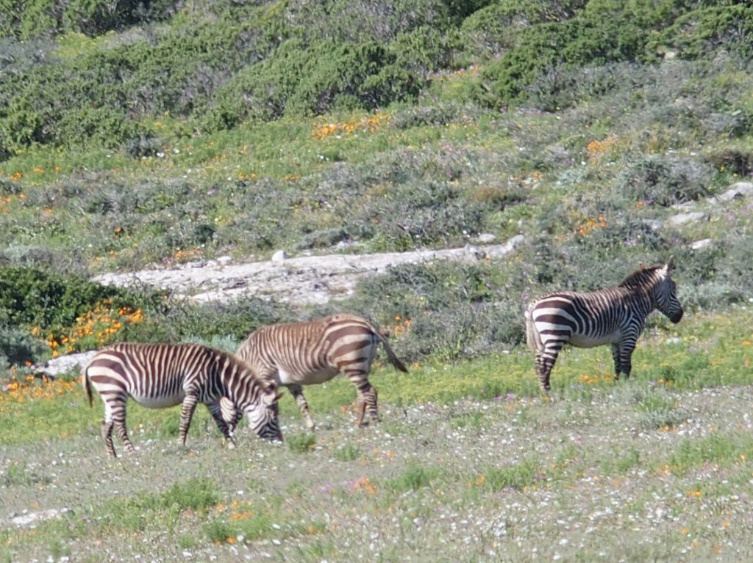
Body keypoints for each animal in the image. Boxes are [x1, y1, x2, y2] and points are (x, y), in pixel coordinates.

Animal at [82, 344, 282, 458]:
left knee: (105, 425)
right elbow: (185, 421)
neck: (218, 375)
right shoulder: (191, 392)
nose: (282, 444)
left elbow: (221, 423)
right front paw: (180, 446)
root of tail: (93, 358)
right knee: (119, 425)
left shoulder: (211, 401)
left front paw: (232, 444)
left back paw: (113, 457)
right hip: (114, 391)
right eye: (273, 419)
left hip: (109, 395)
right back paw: (132, 454)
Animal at [234, 312, 408, 432]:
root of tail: (365, 322)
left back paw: (375, 422)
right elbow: (302, 404)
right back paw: (358, 423)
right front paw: (311, 427)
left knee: (369, 393)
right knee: (363, 394)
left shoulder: (266, 377)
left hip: (351, 363)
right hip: (363, 364)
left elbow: (268, 407)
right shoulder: (291, 382)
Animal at [524, 258, 680, 394]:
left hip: (541, 341)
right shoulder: (629, 334)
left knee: (537, 364)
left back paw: (544, 392)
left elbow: (617, 365)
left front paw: (617, 385)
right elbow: (626, 365)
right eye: (674, 288)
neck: (637, 300)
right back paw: (548, 394)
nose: (680, 315)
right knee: (544, 366)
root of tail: (535, 303)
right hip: (554, 335)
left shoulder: (615, 341)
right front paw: (627, 387)